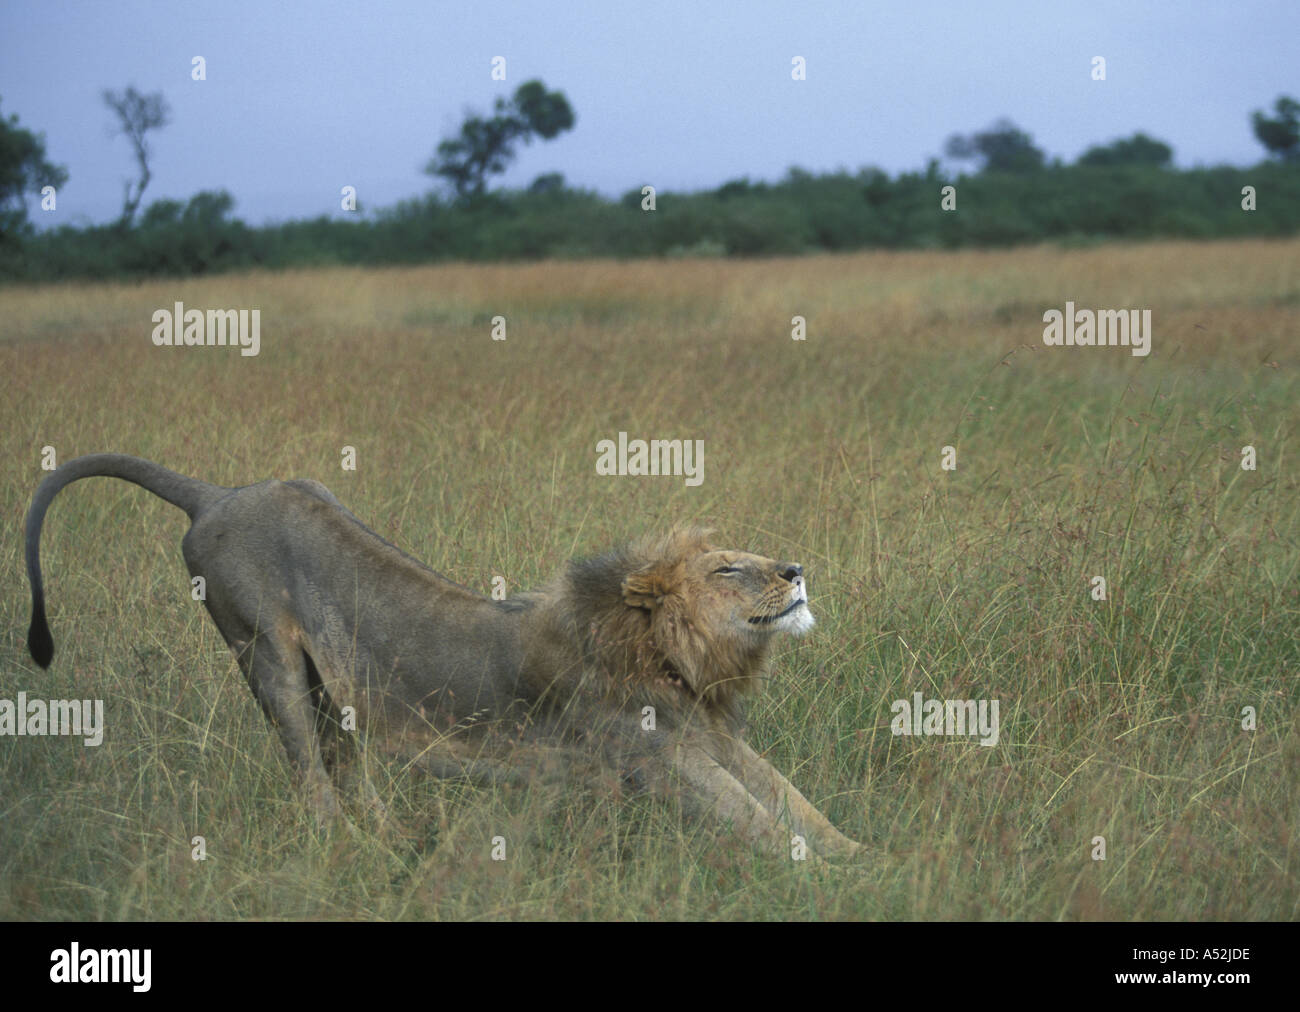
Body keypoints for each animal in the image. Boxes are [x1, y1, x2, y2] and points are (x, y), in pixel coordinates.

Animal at [25, 454, 863, 859]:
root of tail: (217, 493)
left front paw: (862, 853)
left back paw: (395, 843)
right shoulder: (654, 756)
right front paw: (825, 879)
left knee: (344, 763)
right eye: (726, 570)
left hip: (331, 684)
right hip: (265, 654)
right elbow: (753, 819)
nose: (795, 570)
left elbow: (794, 802)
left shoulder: (710, 734)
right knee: (310, 776)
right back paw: (345, 851)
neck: (674, 659)